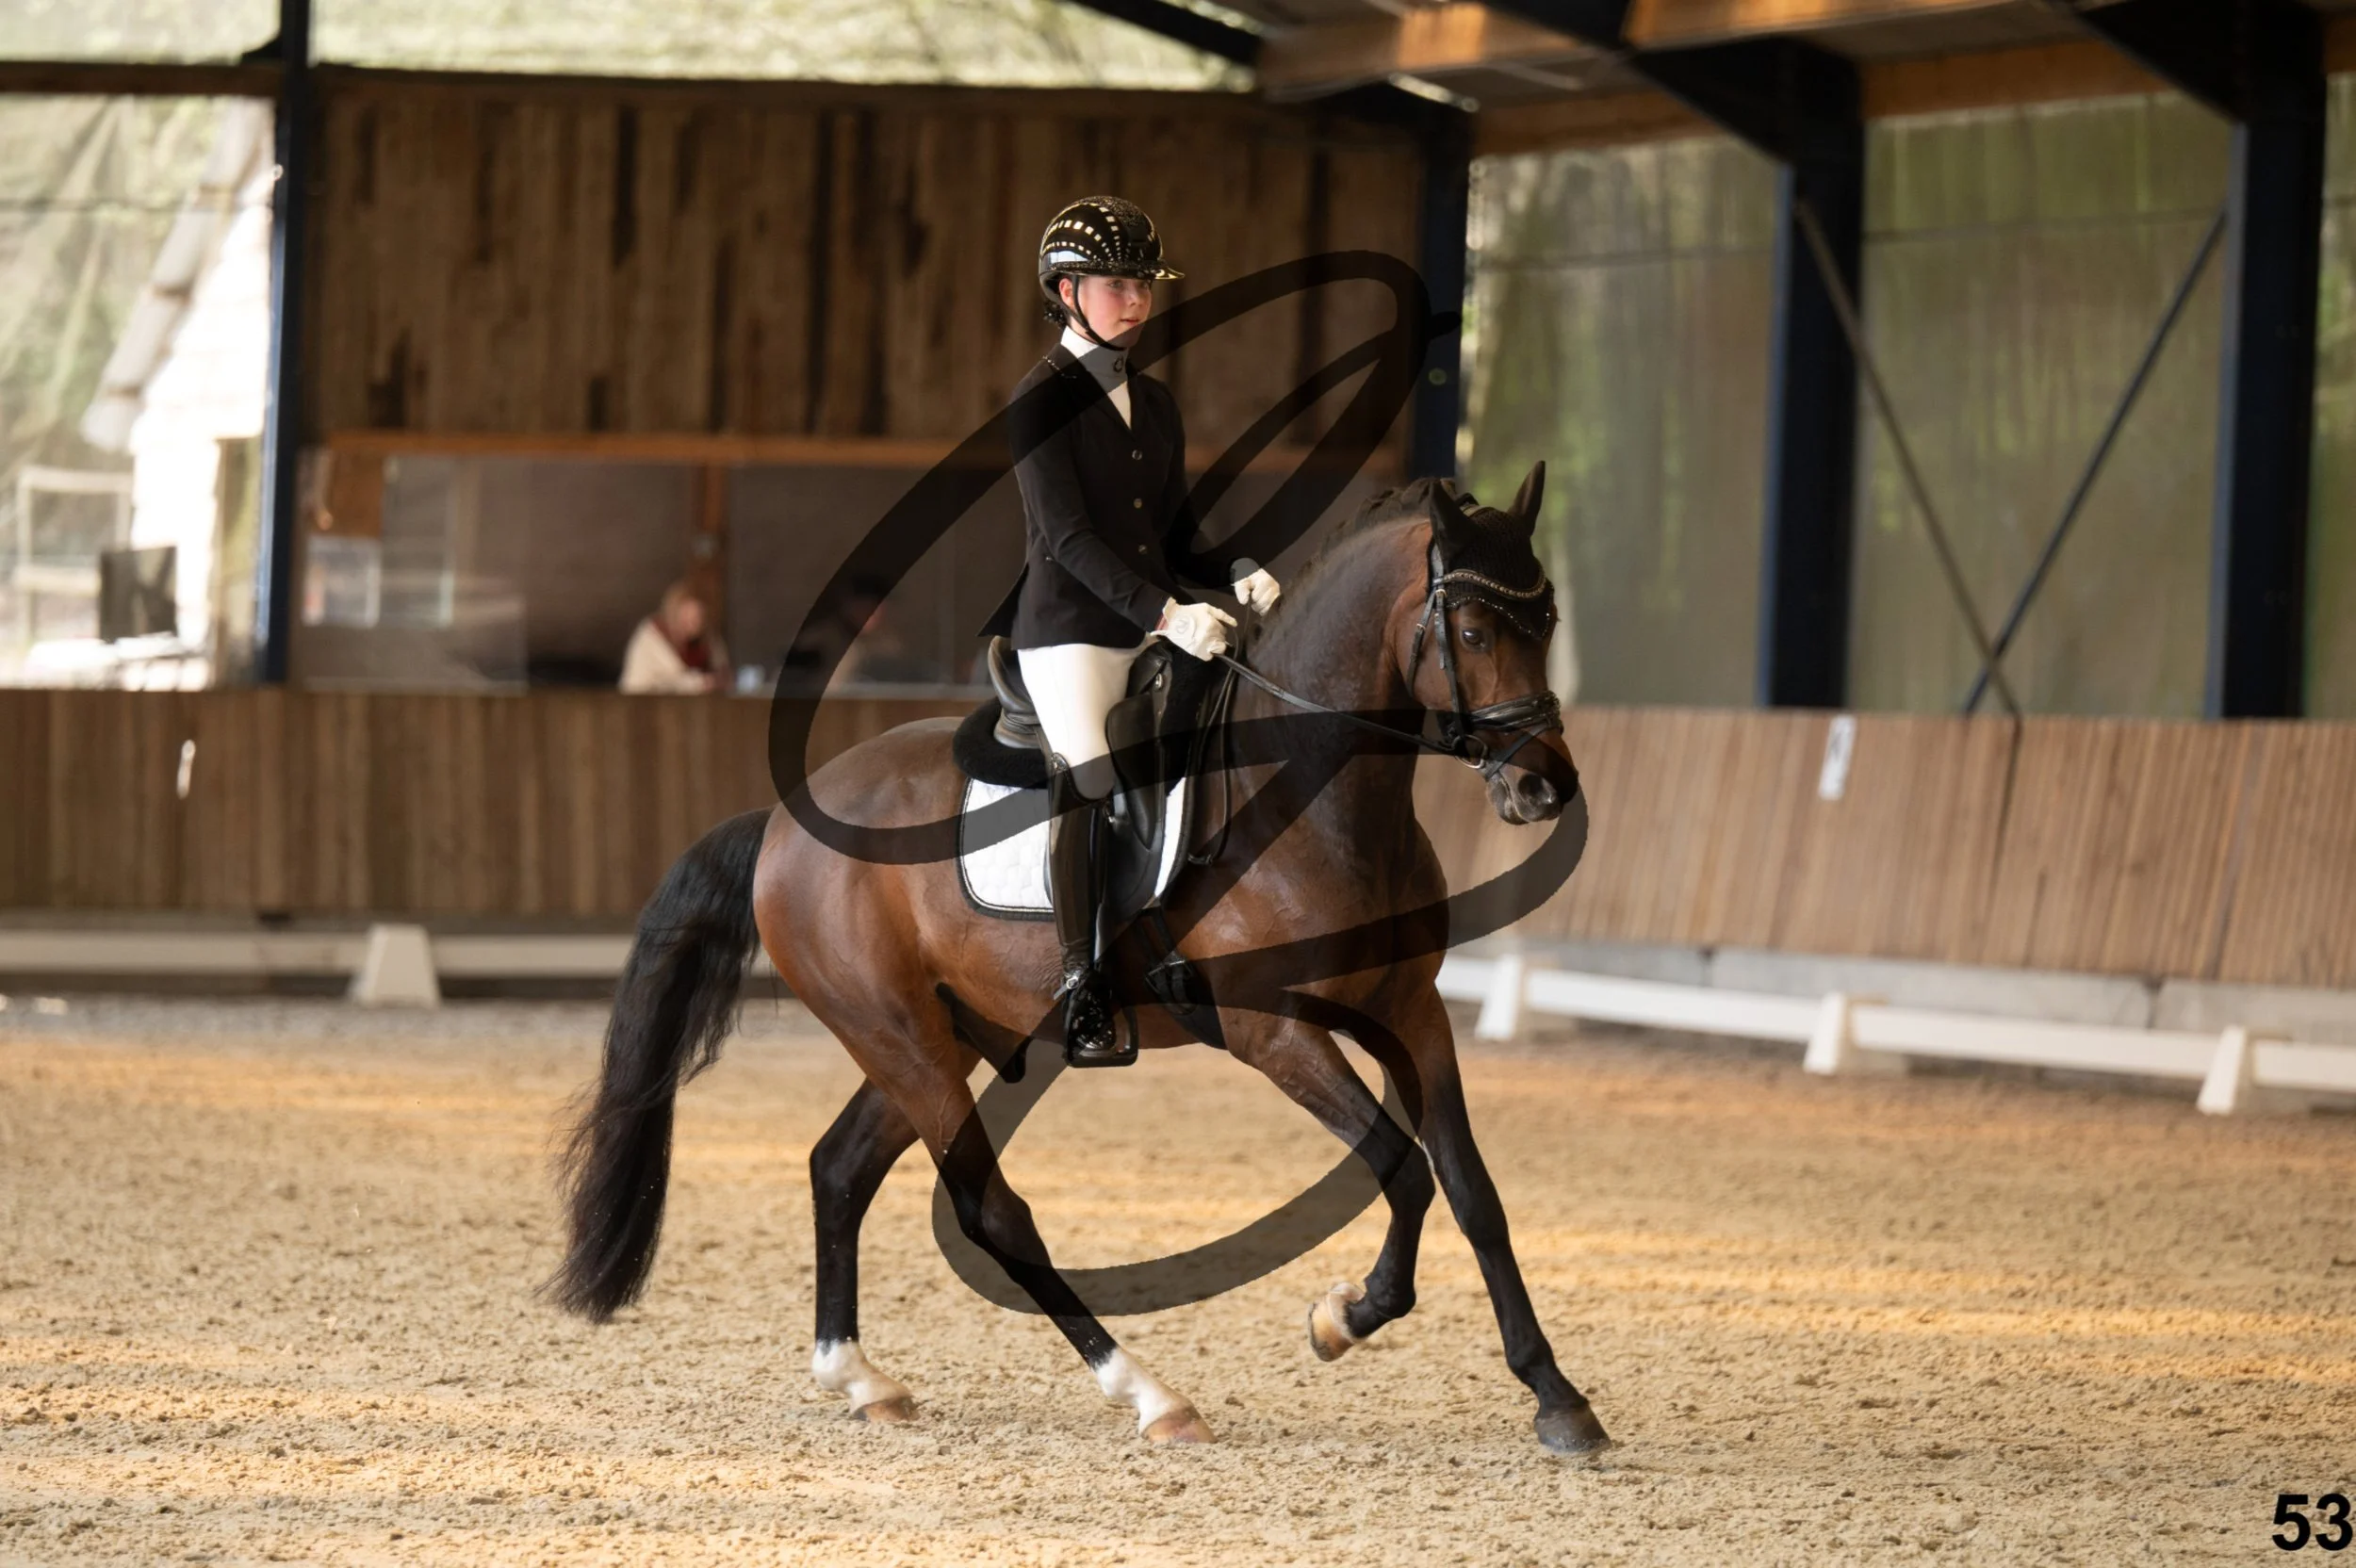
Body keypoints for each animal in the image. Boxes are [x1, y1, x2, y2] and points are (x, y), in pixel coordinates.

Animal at [548, 463, 1614, 1456]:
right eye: (1472, 633)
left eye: (1549, 618)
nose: (1543, 786)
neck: (1314, 796)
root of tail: (778, 820)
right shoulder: (1276, 1035)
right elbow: (1403, 1169)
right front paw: (1344, 1316)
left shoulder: (1410, 1011)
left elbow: (1472, 1190)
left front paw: (1557, 1395)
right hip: (900, 1037)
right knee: (989, 1208)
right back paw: (1148, 1393)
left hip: (938, 1034)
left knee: (838, 1168)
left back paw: (860, 1378)